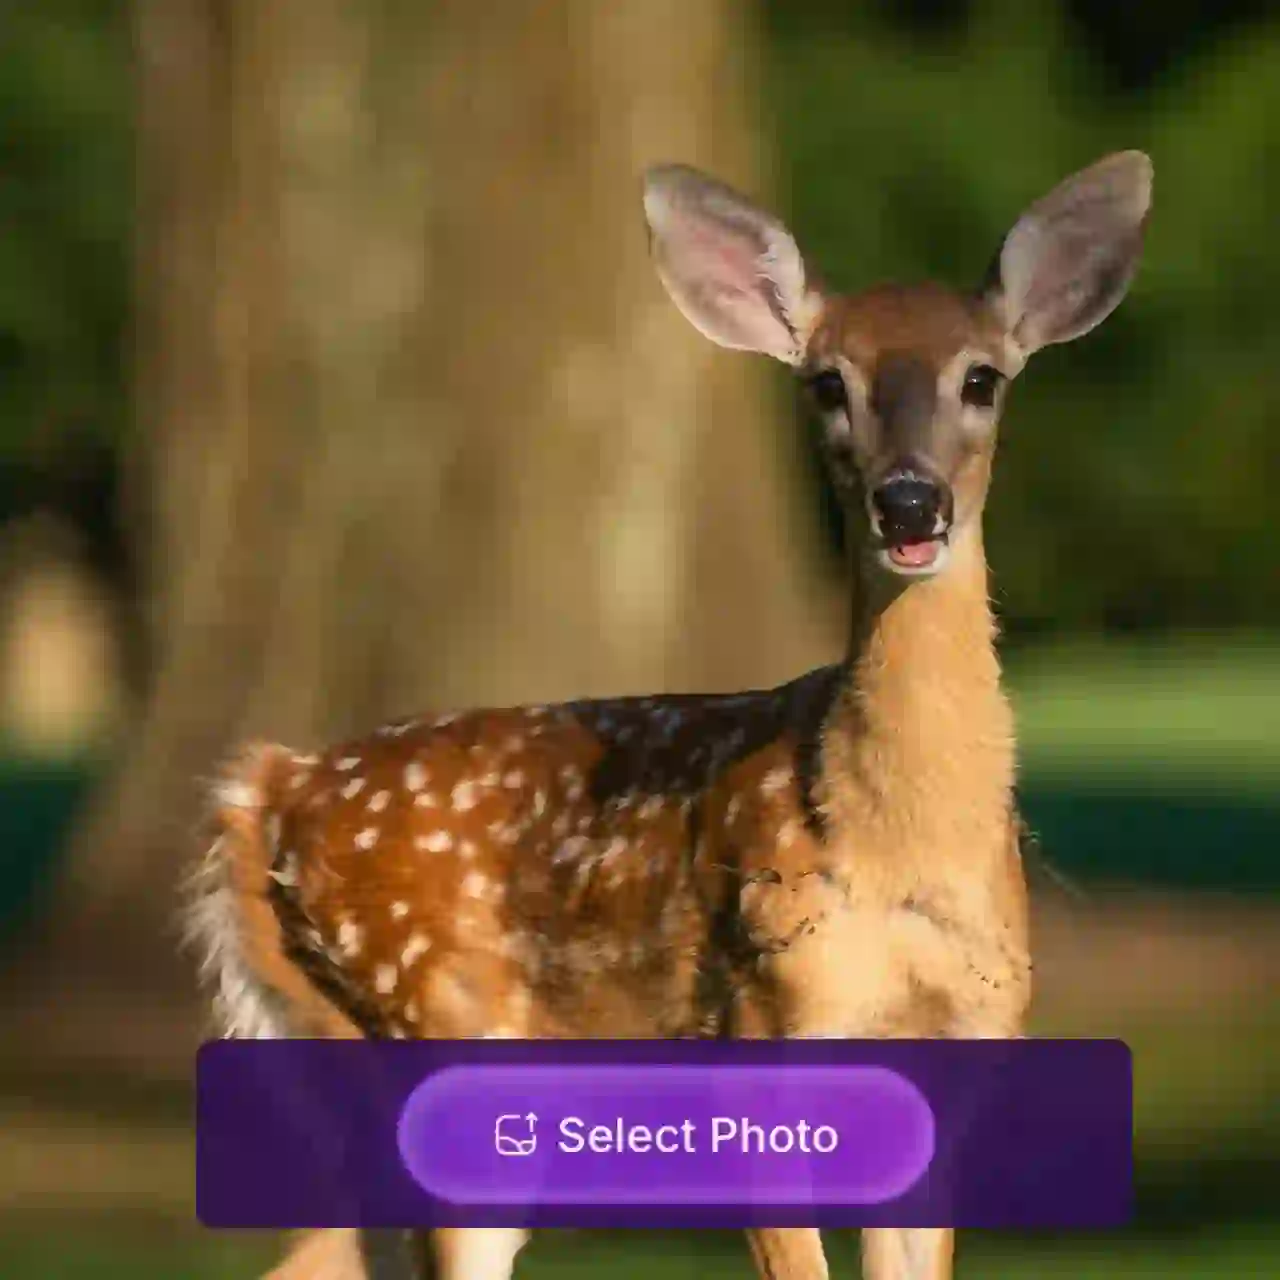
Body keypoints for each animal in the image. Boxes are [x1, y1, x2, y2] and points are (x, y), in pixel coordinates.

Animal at [187, 150, 1152, 1280]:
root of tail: (265, 788)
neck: (895, 846)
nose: (909, 503)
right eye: (827, 383)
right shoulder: (758, 1029)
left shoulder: (966, 1040)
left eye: (981, 378)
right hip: (431, 1015)